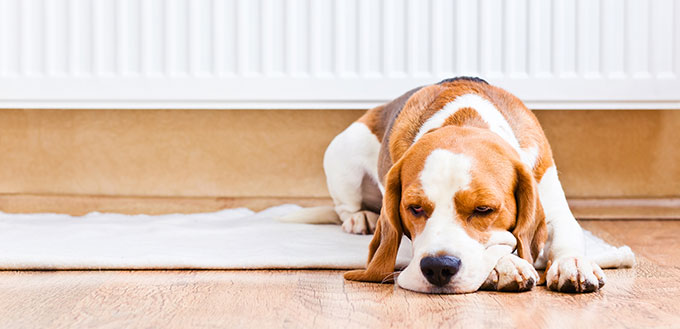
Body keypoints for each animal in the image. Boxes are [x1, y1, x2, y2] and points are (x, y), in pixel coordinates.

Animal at [282, 77, 604, 292]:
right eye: (414, 208)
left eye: (484, 209)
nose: (438, 268)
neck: (465, 119)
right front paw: (506, 264)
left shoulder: (551, 202)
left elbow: (567, 234)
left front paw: (573, 263)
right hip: (343, 152)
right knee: (344, 208)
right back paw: (361, 218)